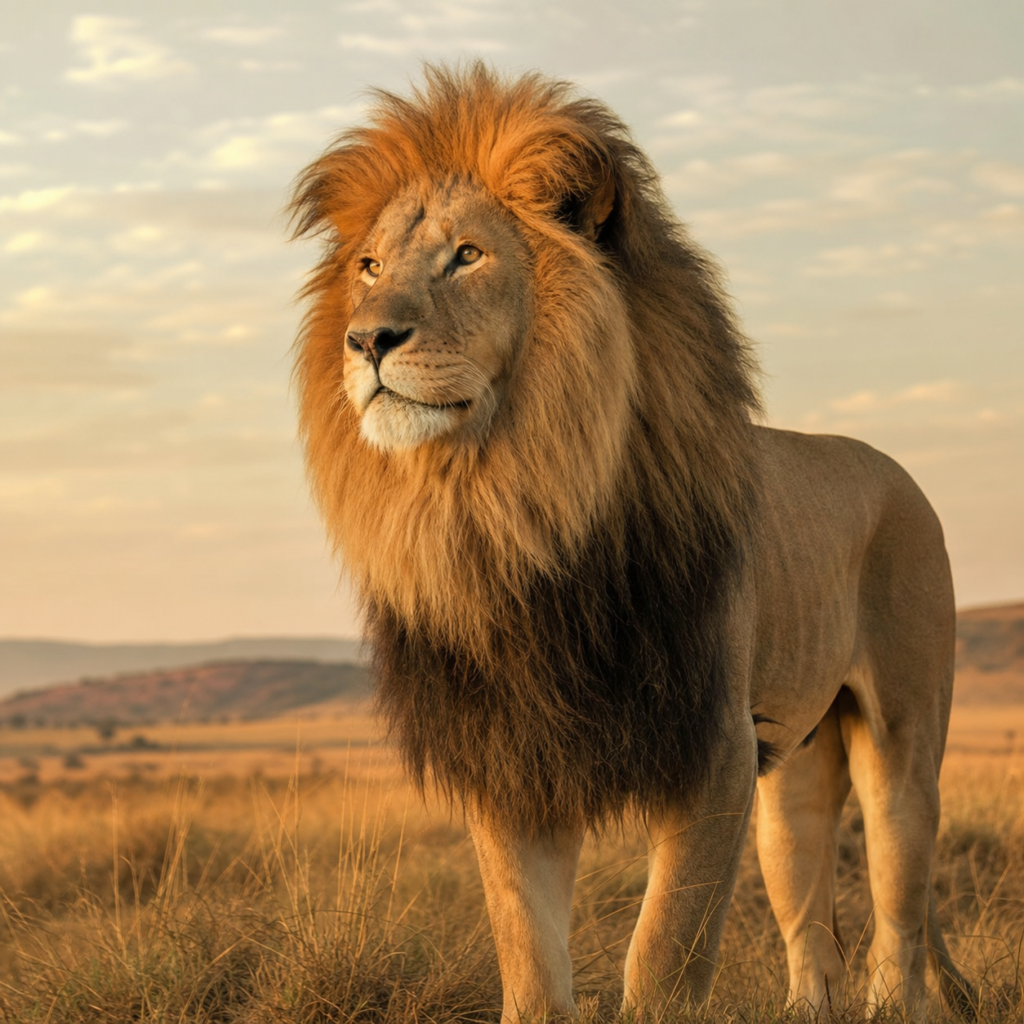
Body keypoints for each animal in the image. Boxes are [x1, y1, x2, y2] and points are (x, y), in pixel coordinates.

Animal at [291, 64, 974, 1022]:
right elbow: (529, 958)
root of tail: (897, 470)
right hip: (791, 785)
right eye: (370, 267)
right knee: (811, 931)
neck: (511, 510)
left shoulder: (713, 749)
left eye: (468, 256)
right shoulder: (515, 761)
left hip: (902, 748)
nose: (366, 338)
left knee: (899, 921)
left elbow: (663, 950)